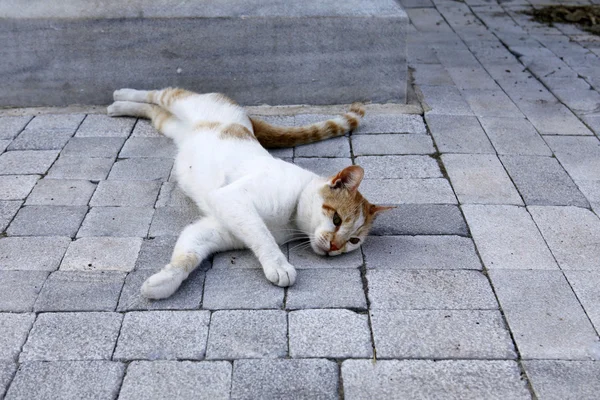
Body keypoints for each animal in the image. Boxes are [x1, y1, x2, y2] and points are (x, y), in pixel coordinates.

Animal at [107, 88, 392, 300]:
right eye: (336, 219)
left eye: (353, 241)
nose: (335, 247)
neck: (290, 220)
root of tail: (247, 118)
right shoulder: (233, 200)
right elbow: (262, 236)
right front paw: (279, 265)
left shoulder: (216, 229)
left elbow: (187, 256)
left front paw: (162, 282)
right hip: (182, 103)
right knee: (160, 94)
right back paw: (120, 96)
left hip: (171, 126)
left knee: (155, 111)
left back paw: (120, 107)